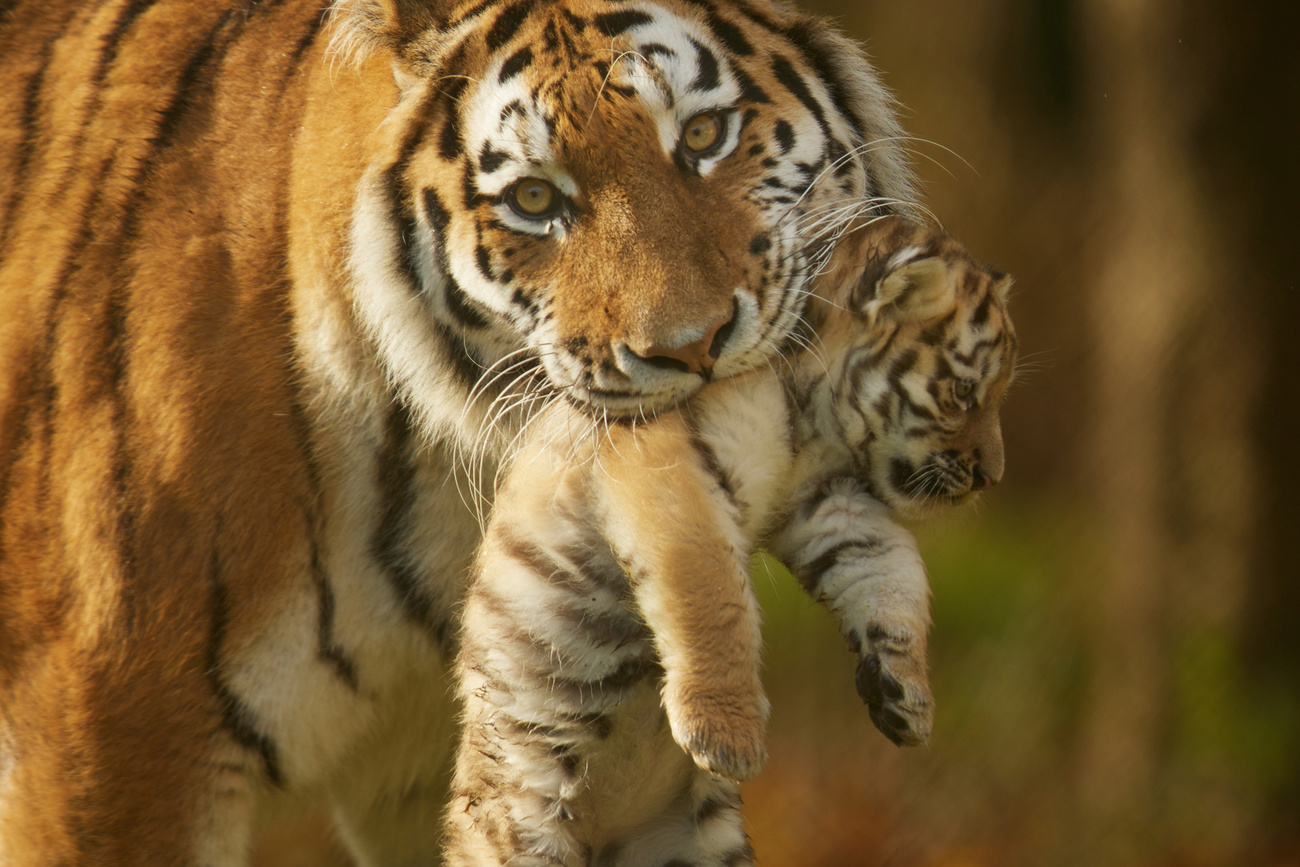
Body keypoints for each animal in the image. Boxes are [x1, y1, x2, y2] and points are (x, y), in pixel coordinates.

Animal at [447, 215, 1013, 863]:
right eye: (964, 394)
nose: (992, 475)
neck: (814, 422)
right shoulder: (665, 462)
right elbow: (709, 593)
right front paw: (726, 738)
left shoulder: (833, 505)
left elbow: (893, 575)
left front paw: (907, 694)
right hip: (522, 818)